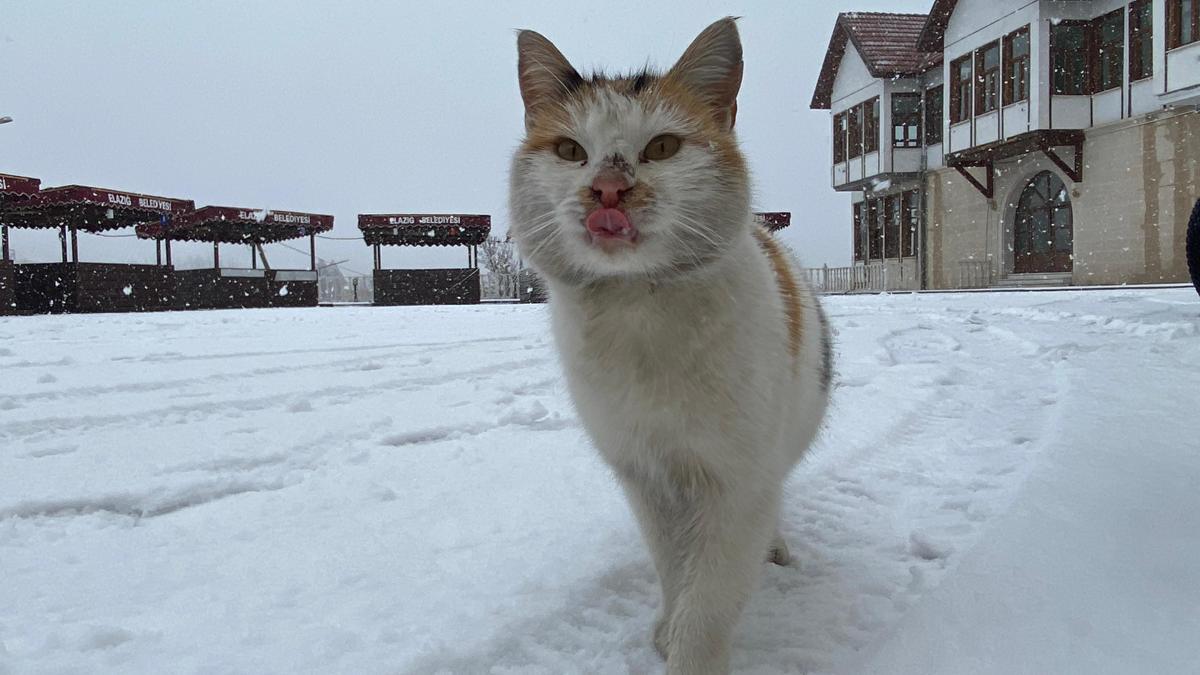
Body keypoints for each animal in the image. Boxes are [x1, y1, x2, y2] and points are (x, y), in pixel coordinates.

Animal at [508, 18, 835, 667]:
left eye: (661, 148)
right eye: (570, 151)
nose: (609, 190)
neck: (637, 309)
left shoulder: (737, 484)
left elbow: (709, 602)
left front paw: (689, 649)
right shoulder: (645, 474)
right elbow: (672, 564)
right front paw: (666, 624)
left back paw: (775, 546)